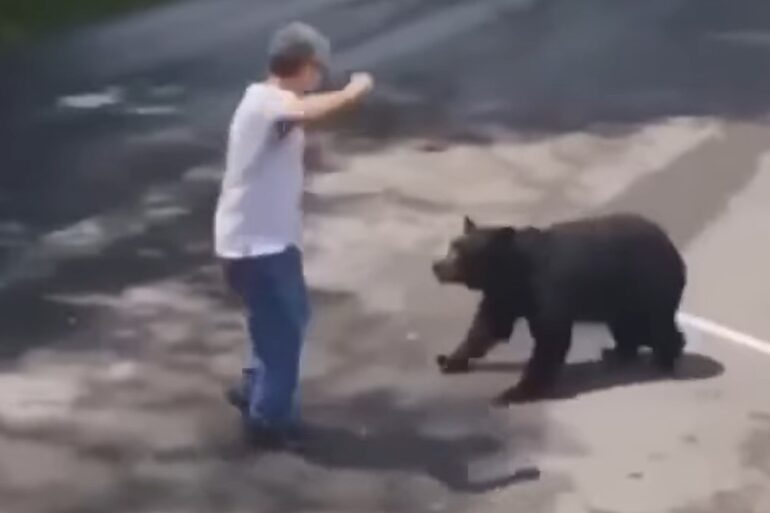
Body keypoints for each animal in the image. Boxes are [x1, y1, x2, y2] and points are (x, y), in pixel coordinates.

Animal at [431, 213, 687, 406]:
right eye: (452, 245)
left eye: (460, 252)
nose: (437, 266)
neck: (513, 272)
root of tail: (672, 247)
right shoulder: (506, 295)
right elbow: (488, 327)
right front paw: (449, 360)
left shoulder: (547, 289)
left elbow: (550, 339)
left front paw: (515, 393)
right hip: (619, 298)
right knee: (628, 328)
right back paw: (619, 353)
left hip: (646, 287)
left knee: (655, 325)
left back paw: (665, 357)